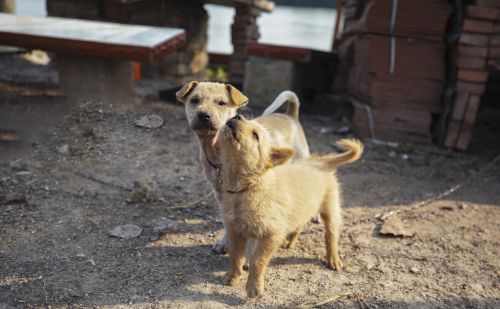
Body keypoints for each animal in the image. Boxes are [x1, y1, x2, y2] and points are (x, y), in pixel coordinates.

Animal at [175, 81, 308, 253]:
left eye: (221, 103)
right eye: (194, 100)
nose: (203, 115)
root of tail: (290, 115)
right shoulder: (220, 194)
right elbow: (227, 220)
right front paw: (225, 243)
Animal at [216, 114, 364, 298]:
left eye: (256, 135)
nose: (237, 115)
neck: (246, 188)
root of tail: (320, 161)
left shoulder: (271, 234)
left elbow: (257, 261)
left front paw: (254, 288)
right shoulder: (235, 230)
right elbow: (235, 256)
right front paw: (232, 277)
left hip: (330, 208)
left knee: (331, 235)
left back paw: (333, 259)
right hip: (301, 209)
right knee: (299, 224)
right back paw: (290, 241)